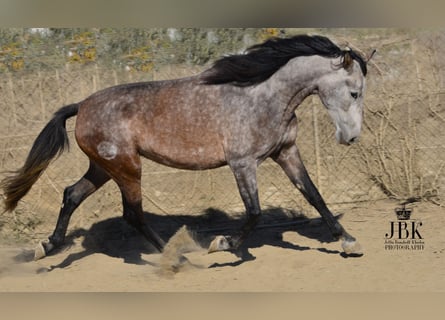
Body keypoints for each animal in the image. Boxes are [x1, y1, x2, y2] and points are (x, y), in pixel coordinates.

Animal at [0, 35, 368, 260]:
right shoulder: (242, 162)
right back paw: (179, 254)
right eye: (354, 92)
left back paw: (46, 246)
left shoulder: (286, 152)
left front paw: (349, 242)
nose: (351, 138)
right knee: (132, 213)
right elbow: (254, 212)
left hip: (104, 168)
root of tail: (81, 105)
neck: (262, 97)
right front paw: (222, 244)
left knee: (72, 195)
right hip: (127, 167)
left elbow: (314, 195)